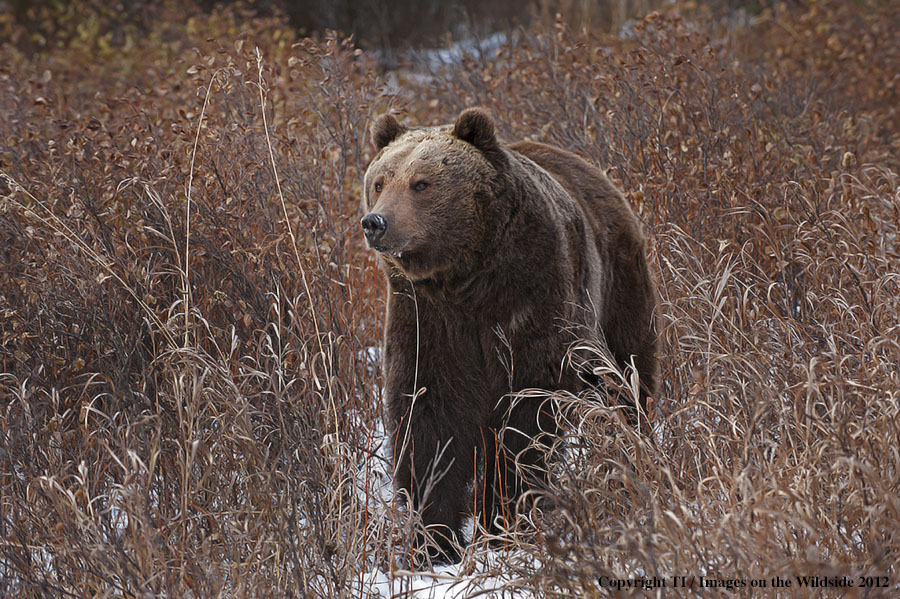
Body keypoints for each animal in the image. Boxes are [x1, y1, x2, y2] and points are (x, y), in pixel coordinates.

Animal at [360, 109, 660, 568]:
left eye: (421, 183)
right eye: (380, 181)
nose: (376, 222)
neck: (468, 281)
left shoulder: (532, 298)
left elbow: (527, 414)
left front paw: (503, 522)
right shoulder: (428, 320)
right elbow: (428, 417)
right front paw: (435, 542)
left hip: (617, 289)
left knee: (627, 382)